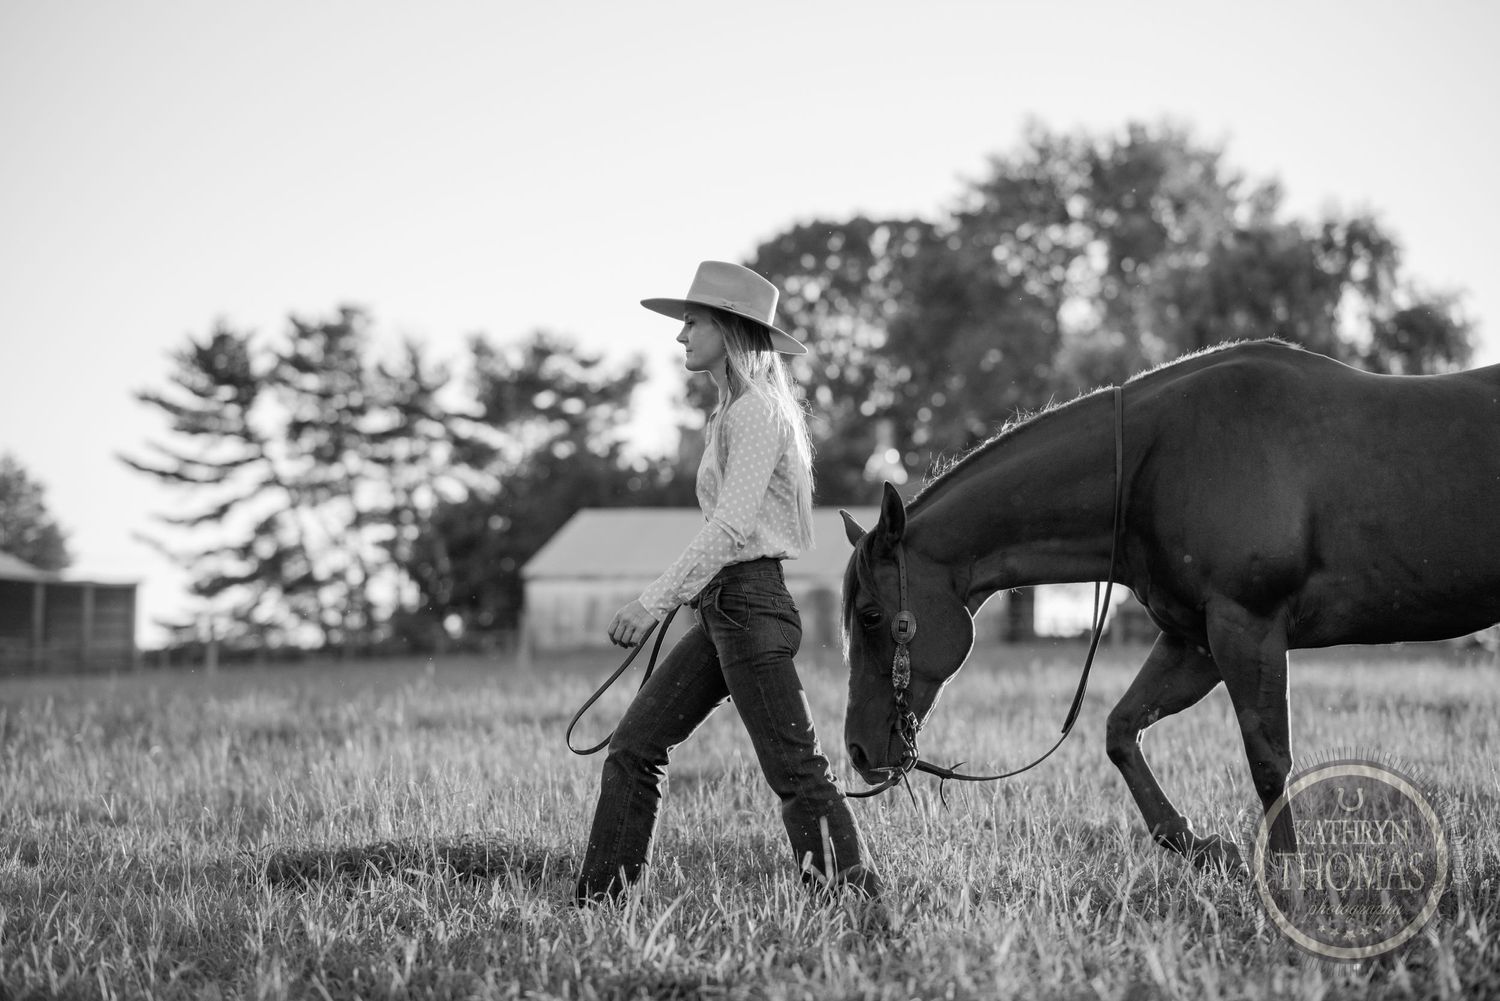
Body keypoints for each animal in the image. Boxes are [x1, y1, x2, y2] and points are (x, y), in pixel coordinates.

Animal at [839, 339, 1500, 869]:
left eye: (871, 617)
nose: (858, 751)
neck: (1153, 464)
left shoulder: (1247, 628)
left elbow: (1268, 761)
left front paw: (1286, 876)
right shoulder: (1196, 641)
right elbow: (1121, 730)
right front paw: (1198, 844)